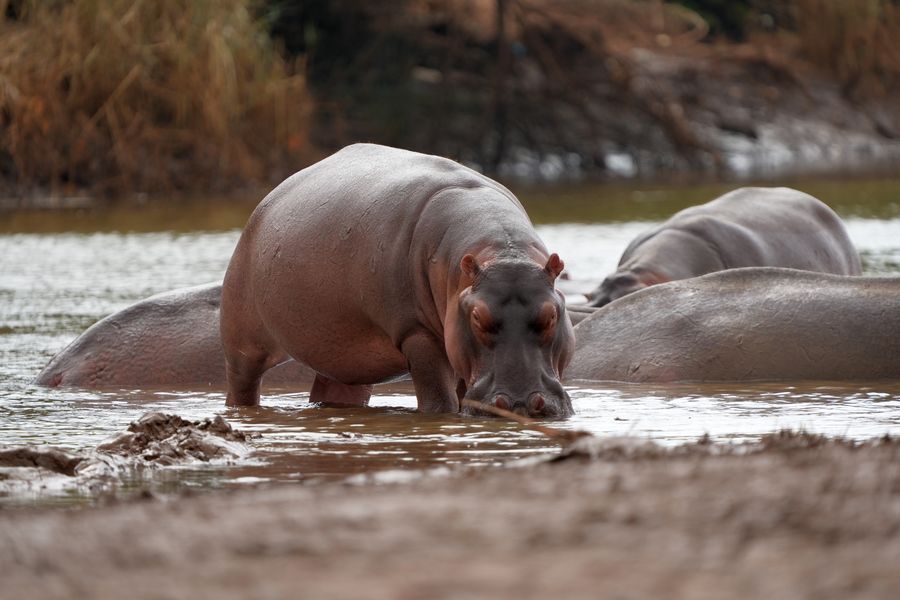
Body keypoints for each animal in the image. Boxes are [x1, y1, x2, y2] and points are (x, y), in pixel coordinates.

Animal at [221, 143, 575, 418]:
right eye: (477, 317)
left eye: (551, 315)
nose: (519, 404)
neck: (501, 251)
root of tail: (267, 201)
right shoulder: (417, 334)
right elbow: (440, 401)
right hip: (244, 343)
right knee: (243, 385)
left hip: (347, 357)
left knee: (337, 390)